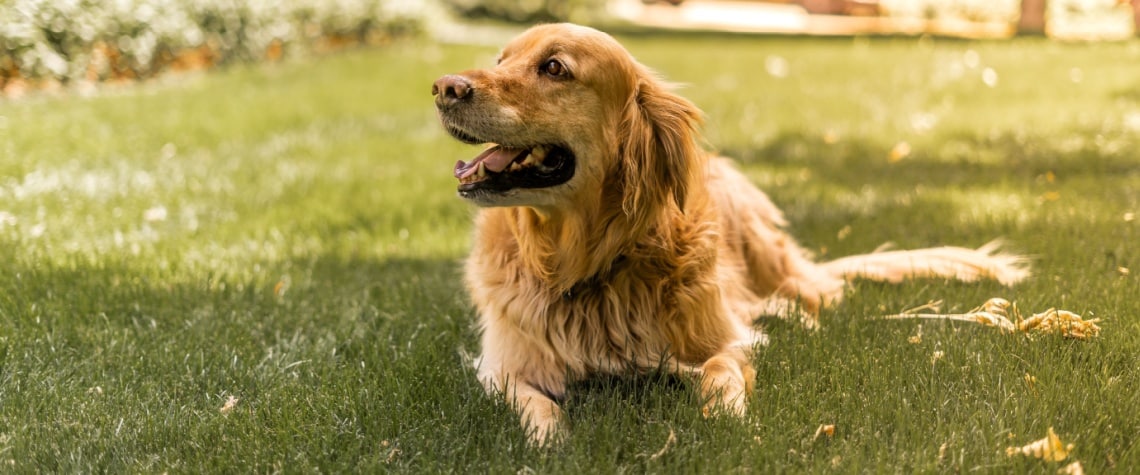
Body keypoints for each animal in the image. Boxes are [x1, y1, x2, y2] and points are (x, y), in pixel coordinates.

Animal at [430, 23, 1030, 444]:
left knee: (807, 294)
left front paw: (729, 418)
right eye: (501, 60)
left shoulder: (721, 339)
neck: (585, 264)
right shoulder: (501, 366)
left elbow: (724, 367)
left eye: (554, 68)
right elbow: (537, 403)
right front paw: (551, 440)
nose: (443, 87)